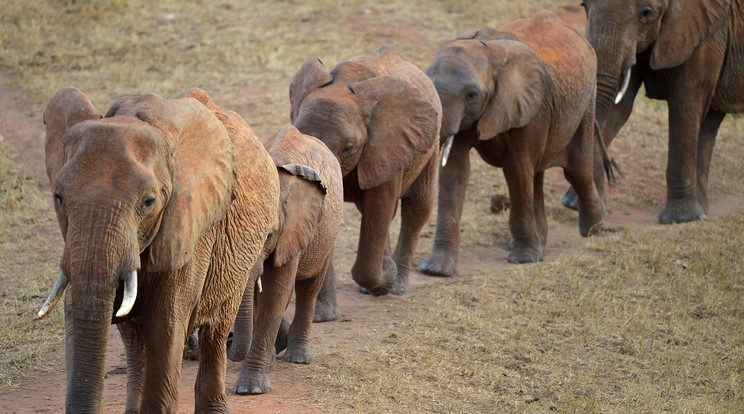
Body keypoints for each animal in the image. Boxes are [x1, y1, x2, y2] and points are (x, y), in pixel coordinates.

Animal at [35, 85, 280, 412]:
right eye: (59, 197)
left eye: (149, 202)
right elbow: (76, 310)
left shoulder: (192, 226)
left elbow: (166, 324)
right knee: (134, 339)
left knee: (216, 329)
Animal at [228, 125, 344, 394]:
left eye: (269, 235)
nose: (229, 341)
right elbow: (260, 294)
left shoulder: (292, 229)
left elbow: (276, 292)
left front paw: (251, 389)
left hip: (326, 234)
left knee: (309, 287)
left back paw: (299, 357)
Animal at [290, 44, 442, 308]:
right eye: (301, 136)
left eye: (349, 148)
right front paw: (323, 314)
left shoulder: (385, 147)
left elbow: (379, 207)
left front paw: (386, 278)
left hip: (431, 139)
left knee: (417, 206)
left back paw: (397, 284)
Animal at [418, 8, 604, 274]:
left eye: (472, 94)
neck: (488, 52)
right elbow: (455, 171)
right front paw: (436, 270)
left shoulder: (529, 106)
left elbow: (516, 170)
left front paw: (524, 259)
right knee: (536, 175)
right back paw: (541, 246)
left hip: (586, 102)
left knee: (576, 170)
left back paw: (592, 229)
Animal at [572, 0, 744, 223]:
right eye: (584, 5)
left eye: (646, 13)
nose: (611, 167)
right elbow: (619, 106)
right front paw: (576, 204)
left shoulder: (706, 33)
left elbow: (684, 100)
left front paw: (679, 218)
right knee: (711, 122)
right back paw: (701, 210)